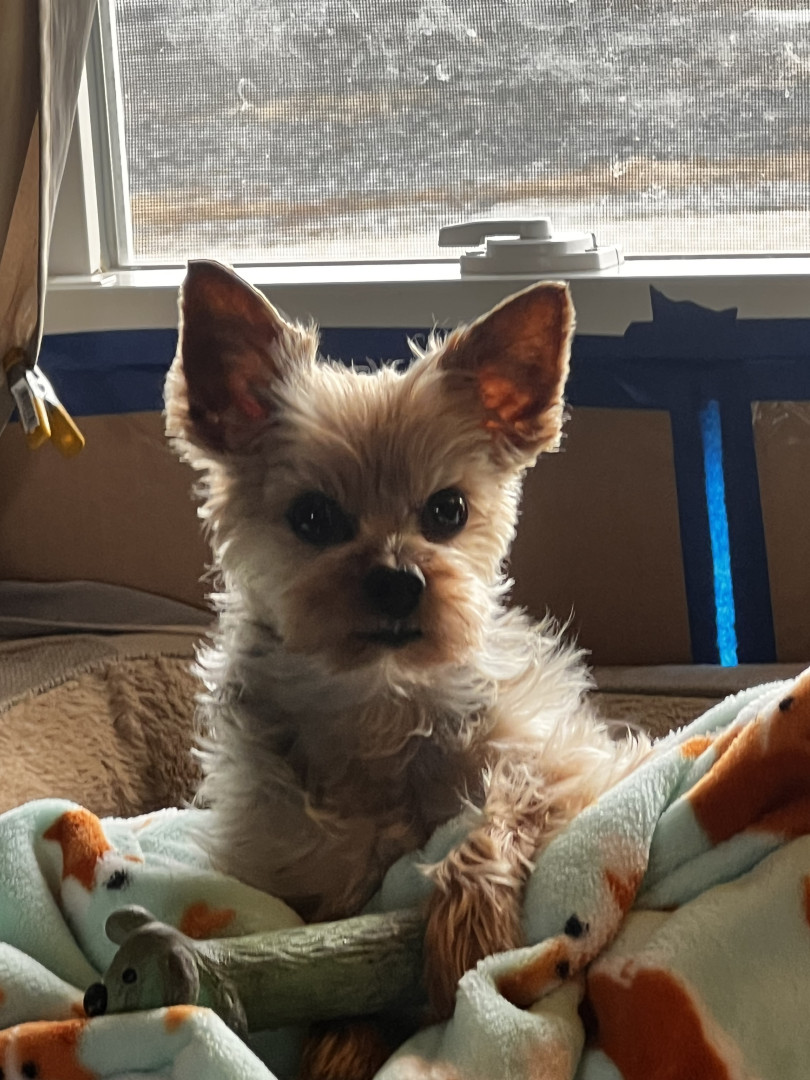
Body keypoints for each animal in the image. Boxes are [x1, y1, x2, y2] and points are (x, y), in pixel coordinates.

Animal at [164, 261, 650, 1078]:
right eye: (313, 517)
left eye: (448, 510)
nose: (398, 579)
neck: (378, 701)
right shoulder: (288, 872)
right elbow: (323, 931)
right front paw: (341, 1039)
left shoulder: (583, 767)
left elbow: (511, 800)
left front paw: (468, 928)